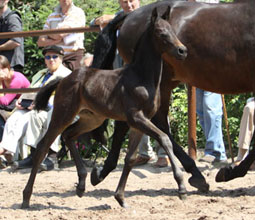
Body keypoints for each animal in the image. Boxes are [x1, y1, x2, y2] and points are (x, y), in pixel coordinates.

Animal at [21, 8, 187, 208]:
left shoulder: (139, 123)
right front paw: (181, 186)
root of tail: (63, 79)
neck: (141, 77)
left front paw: (120, 197)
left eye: (174, 31)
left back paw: (81, 185)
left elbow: (130, 159)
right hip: (63, 114)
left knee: (68, 135)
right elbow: (165, 138)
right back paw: (26, 198)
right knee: (43, 147)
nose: (182, 50)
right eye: (162, 33)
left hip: (91, 119)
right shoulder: (136, 117)